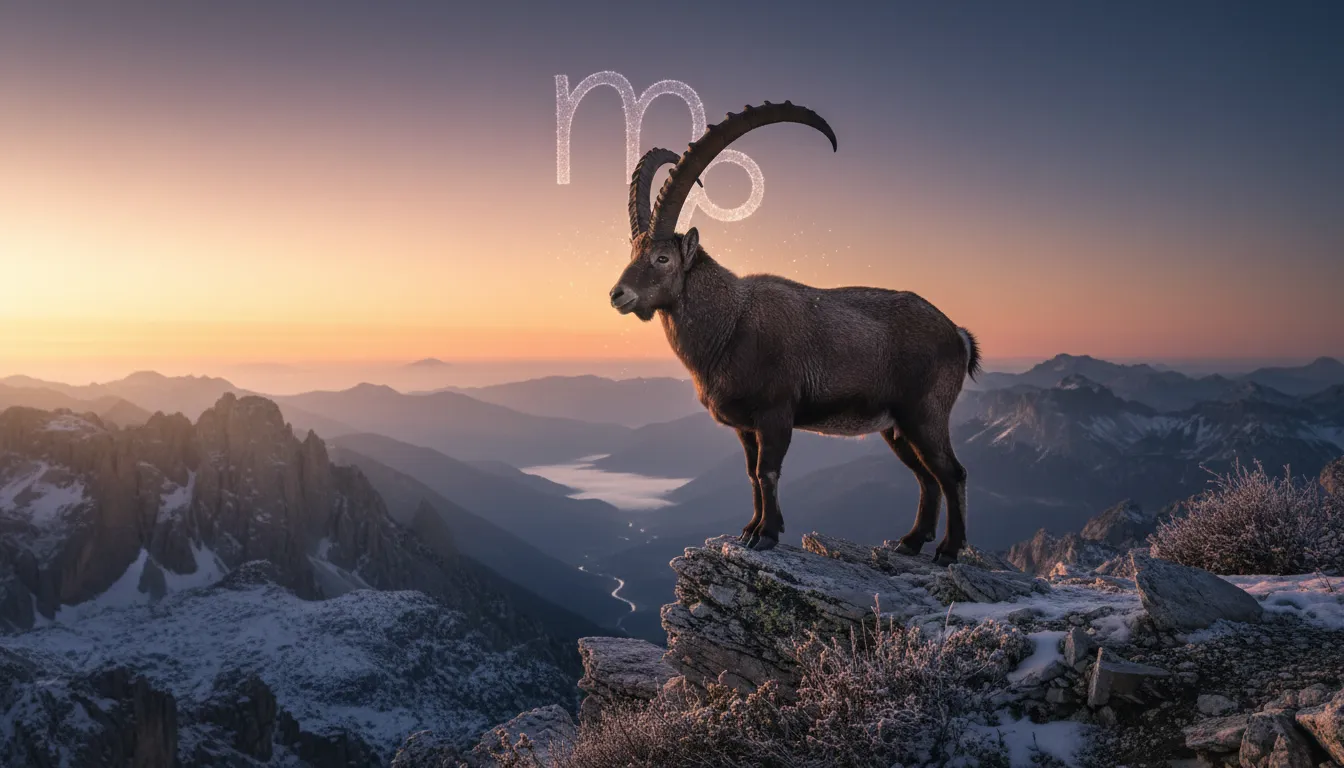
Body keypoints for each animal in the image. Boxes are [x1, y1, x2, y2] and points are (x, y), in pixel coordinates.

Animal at [609, 102, 981, 564]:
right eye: (633, 252)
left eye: (662, 258)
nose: (618, 294)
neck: (729, 324)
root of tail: (957, 333)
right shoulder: (745, 426)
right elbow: (751, 474)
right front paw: (751, 528)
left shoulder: (775, 412)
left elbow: (767, 471)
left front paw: (766, 534)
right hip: (896, 426)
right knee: (926, 476)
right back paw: (911, 541)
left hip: (925, 414)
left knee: (952, 472)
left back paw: (948, 550)